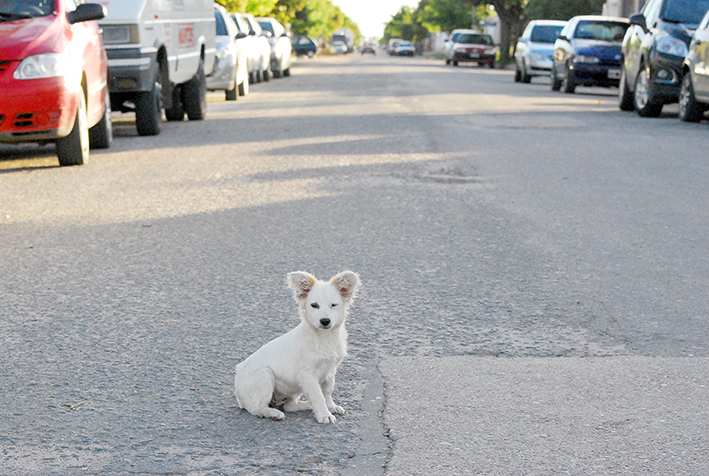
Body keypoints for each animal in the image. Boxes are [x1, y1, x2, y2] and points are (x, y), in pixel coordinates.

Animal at [235, 272, 360, 424]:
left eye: (334, 305)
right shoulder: (307, 375)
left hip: (293, 389)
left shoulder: (330, 370)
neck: (323, 338)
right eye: (314, 305)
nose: (325, 321)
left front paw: (331, 406)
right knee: (257, 408)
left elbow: (327, 392)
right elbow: (318, 396)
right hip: (264, 375)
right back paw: (274, 414)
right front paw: (324, 414)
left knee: (289, 405)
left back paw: (307, 405)